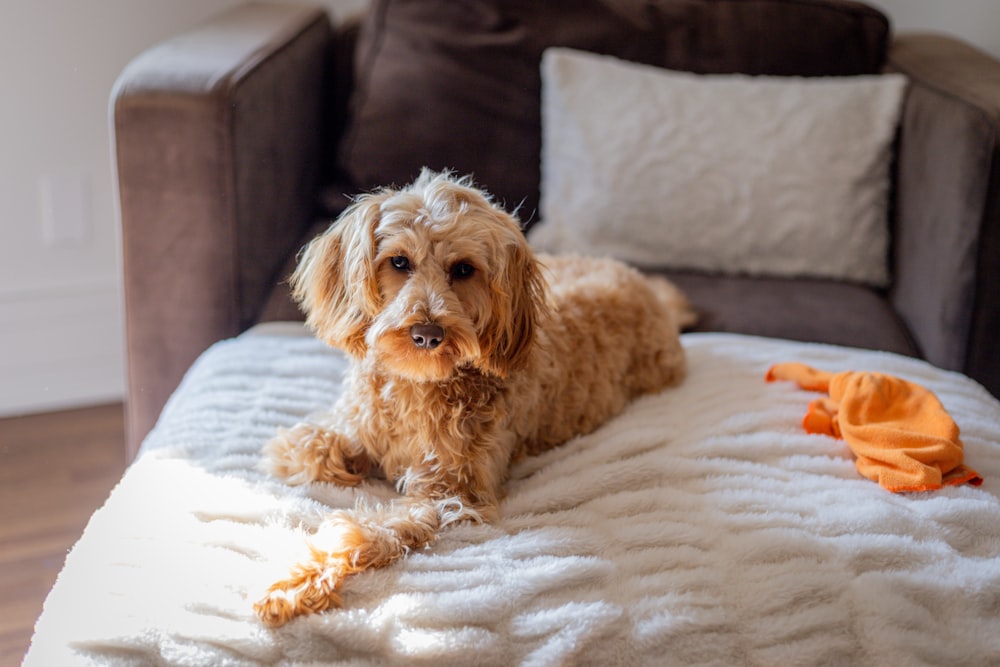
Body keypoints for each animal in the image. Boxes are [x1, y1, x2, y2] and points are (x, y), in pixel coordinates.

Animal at [254, 171, 692, 628]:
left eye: (463, 269)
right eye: (399, 262)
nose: (427, 334)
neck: (420, 384)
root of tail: (646, 287)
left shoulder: (448, 495)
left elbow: (368, 531)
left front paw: (293, 581)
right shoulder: (347, 429)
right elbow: (305, 447)